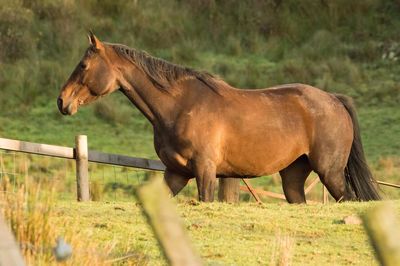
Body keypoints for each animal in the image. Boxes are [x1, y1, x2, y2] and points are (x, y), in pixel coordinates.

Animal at [55, 33, 378, 204]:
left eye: (83, 65)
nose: (62, 101)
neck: (179, 105)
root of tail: (334, 99)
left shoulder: (205, 171)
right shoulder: (176, 173)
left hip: (331, 173)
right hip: (294, 176)